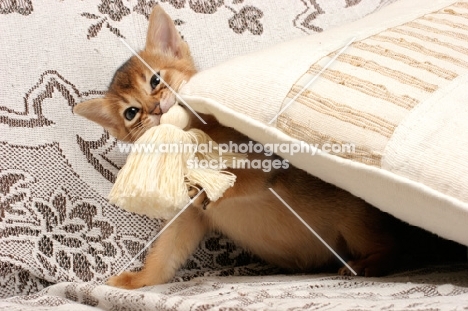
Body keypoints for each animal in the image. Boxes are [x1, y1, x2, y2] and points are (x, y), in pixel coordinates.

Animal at [73, 4, 464, 290]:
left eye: (155, 79)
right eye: (131, 113)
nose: (155, 109)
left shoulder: (265, 165)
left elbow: (240, 179)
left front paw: (213, 186)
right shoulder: (188, 219)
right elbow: (164, 255)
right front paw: (135, 282)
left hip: (357, 224)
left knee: (398, 250)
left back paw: (369, 265)